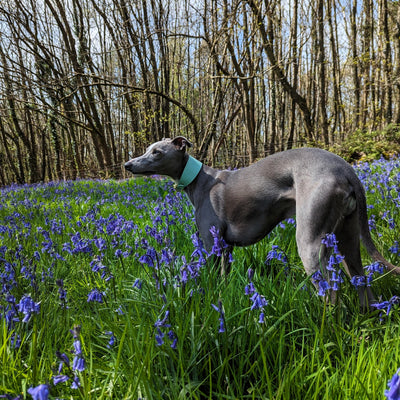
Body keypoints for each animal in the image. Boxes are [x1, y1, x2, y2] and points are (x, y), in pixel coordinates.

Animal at [126, 136, 400, 308]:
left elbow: (211, 277)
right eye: (149, 148)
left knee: (332, 296)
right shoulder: (225, 247)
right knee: (362, 284)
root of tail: (347, 170)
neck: (200, 180)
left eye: (157, 152)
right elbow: (224, 278)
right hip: (348, 239)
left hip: (310, 242)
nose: (128, 164)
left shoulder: (211, 245)